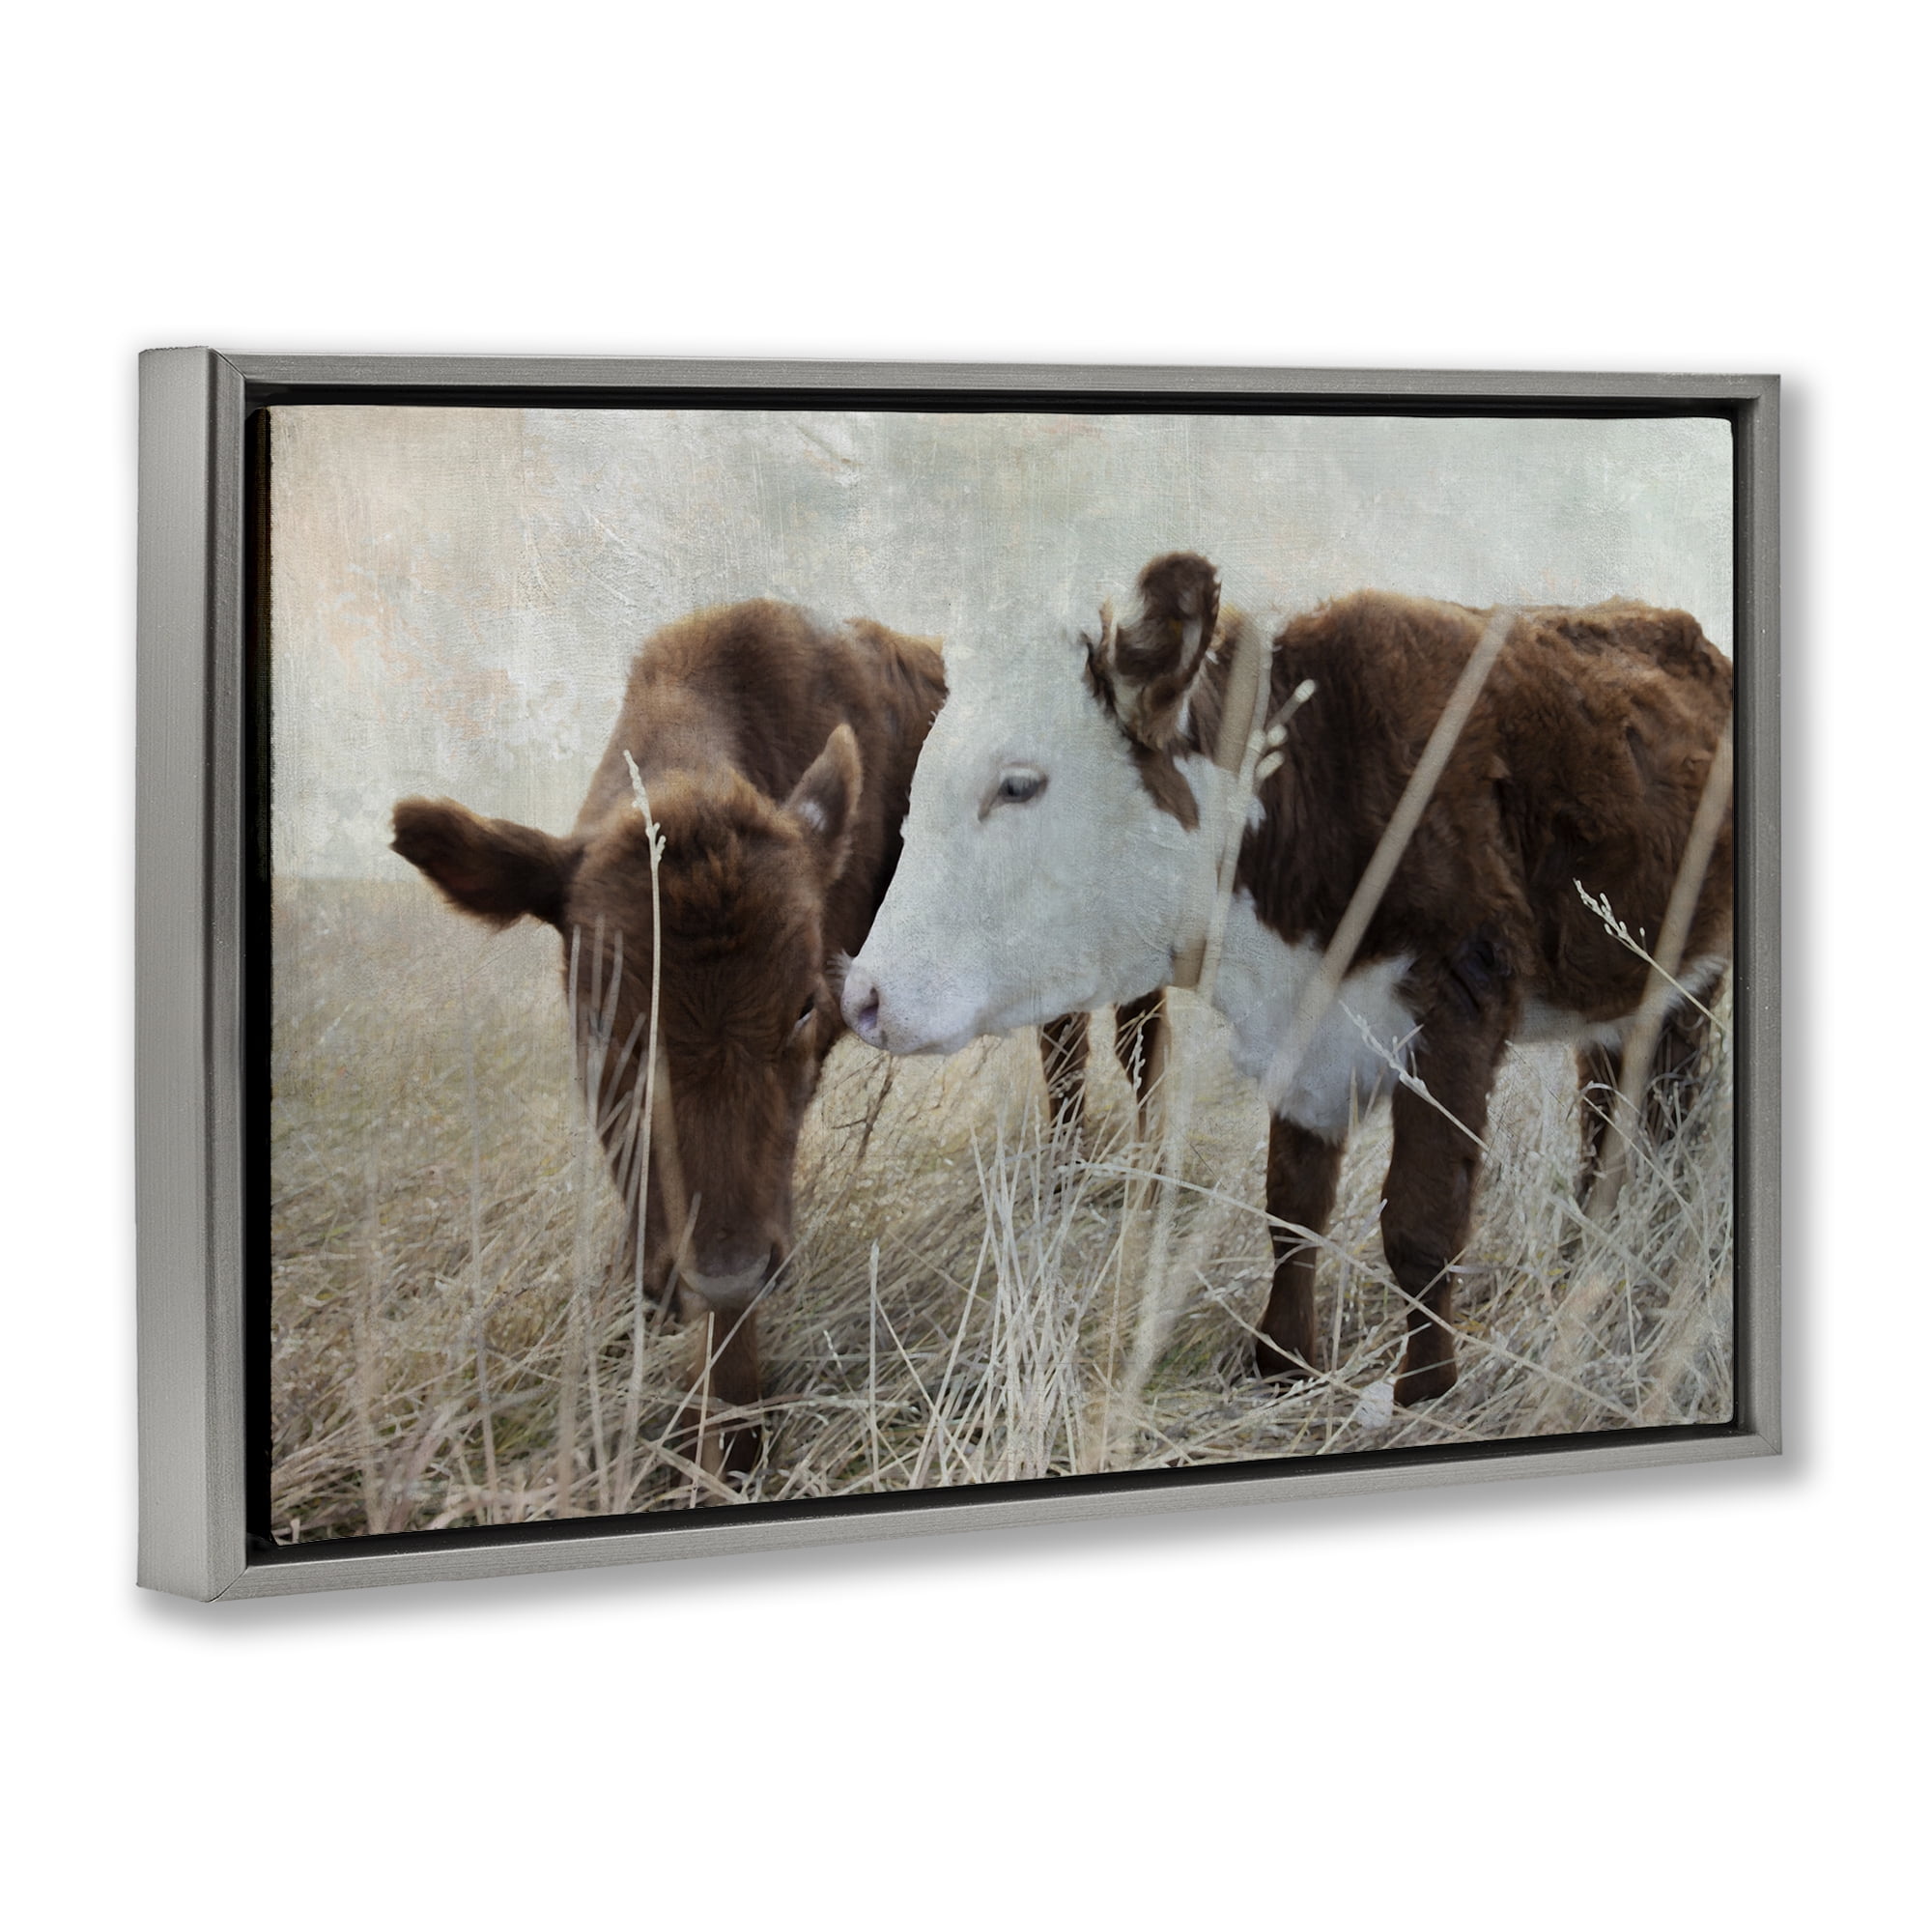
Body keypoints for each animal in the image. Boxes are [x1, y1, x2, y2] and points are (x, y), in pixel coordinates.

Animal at [390, 598, 1159, 1485]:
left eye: (802, 1009)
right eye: (599, 1018)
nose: (721, 1271)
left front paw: (735, 1441)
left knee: (1139, 1038)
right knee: (1064, 1042)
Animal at [840, 552, 1734, 1406]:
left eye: (1019, 784)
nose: (864, 997)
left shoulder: (1458, 1000)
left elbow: (1422, 1224)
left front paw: (1424, 1392)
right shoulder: (1305, 1037)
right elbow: (1293, 1208)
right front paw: (1281, 1362)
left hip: (1691, 983)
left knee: (1671, 1117)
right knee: (1608, 1119)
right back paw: (1588, 1258)